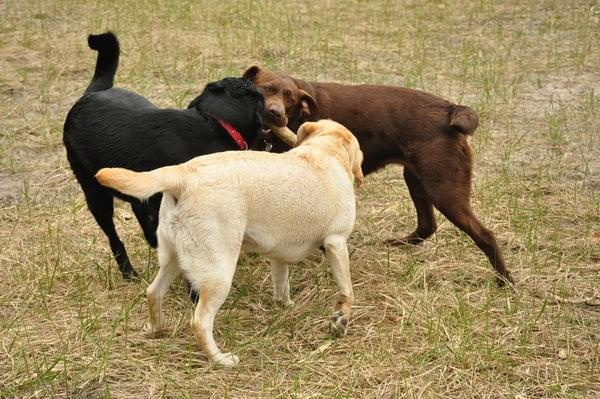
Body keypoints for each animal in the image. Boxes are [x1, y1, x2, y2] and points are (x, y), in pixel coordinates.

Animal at [62, 32, 264, 280]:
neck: (214, 123)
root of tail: (90, 94)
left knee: (139, 207)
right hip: (95, 194)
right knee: (114, 237)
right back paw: (128, 271)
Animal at [246, 65, 512, 286]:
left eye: (290, 99)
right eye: (267, 89)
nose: (275, 113)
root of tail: (450, 108)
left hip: (443, 189)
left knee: (485, 235)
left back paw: (504, 281)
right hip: (416, 180)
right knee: (427, 225)